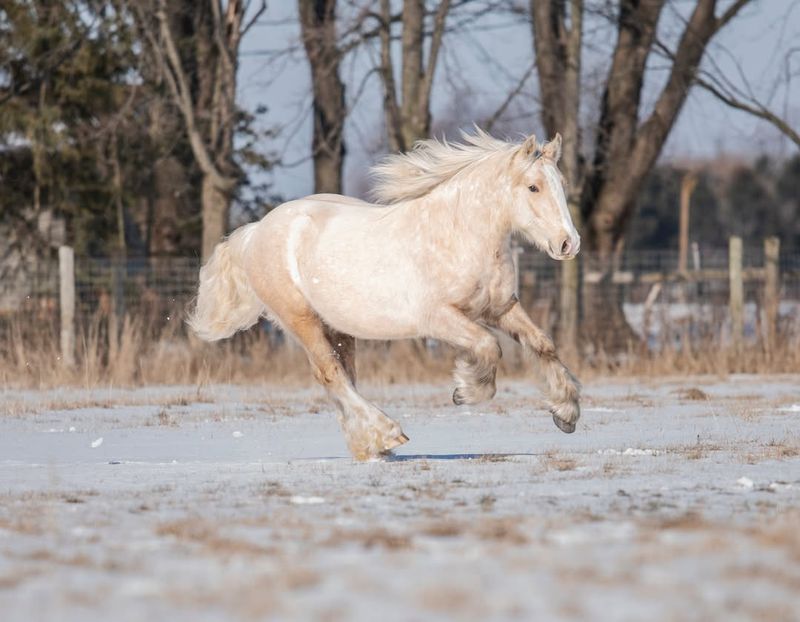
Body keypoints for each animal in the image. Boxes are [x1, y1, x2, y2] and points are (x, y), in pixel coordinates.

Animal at [191, 130, 584, 464]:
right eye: (533, 187)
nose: (569, 244)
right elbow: (489, 346)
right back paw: (388, 433)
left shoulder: (501, 308)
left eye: (561, 184)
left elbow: (544, 345)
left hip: (338, 327)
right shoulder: (439, 318)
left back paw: (369, 446)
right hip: (300, 319)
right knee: (330, 373)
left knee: (341, 376)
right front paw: (466, 391)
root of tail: (257, 229)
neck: (458, 234)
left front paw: (566, 412)